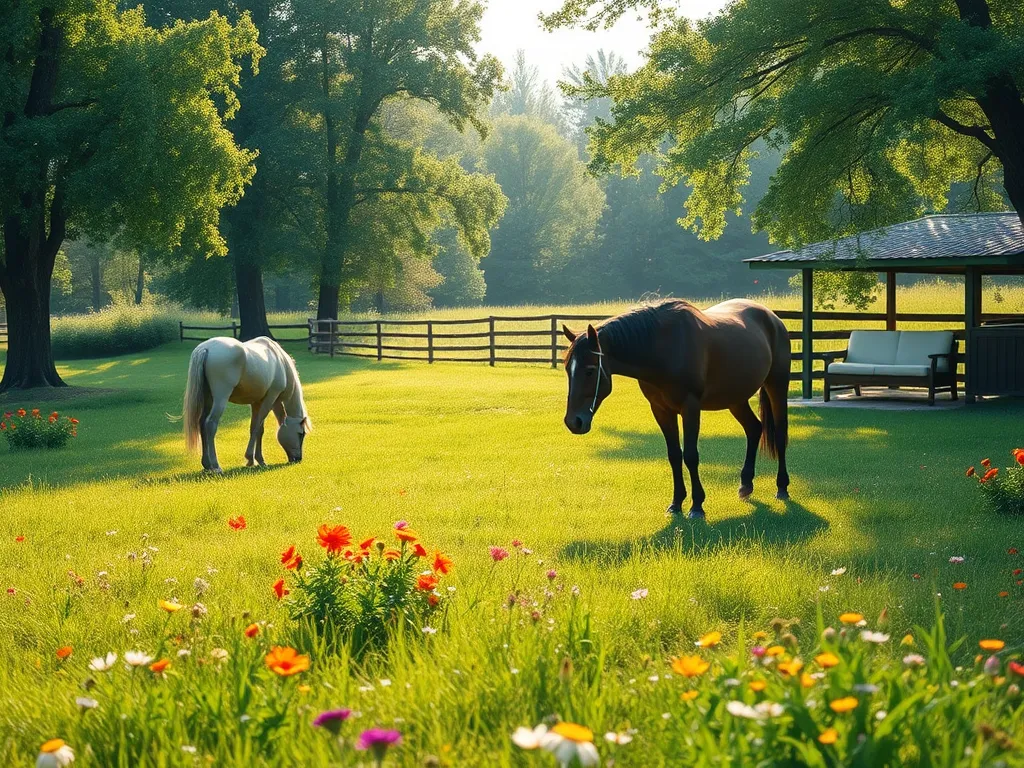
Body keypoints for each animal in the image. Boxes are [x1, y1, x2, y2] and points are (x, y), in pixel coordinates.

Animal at [182, 337, 311, 475]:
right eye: (301, 434)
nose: (298, 458)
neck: (280, 361)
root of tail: (206, 348)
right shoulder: (270, 398)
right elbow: (256, 427)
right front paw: (250, 459)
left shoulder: (259, 403)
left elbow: (258, 429)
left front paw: (259, 460)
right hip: (220, 399)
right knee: (210, 424)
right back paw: (216, 466)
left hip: (208, 399)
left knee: (201, 423)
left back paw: (207, 464)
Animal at [561, 296, 790, 520]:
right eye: (567, 369)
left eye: (590, 370)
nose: (574, 422)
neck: (663, 348)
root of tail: (772, 318)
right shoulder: (661, 410)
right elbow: (674, 455)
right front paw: (676, 503)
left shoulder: (690, 408)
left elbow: (690, 455)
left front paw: (697, 506)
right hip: (735, 399)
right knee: (754, 429)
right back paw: (745, 485)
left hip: (777, 386)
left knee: (780, 434)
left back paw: (782, 487)